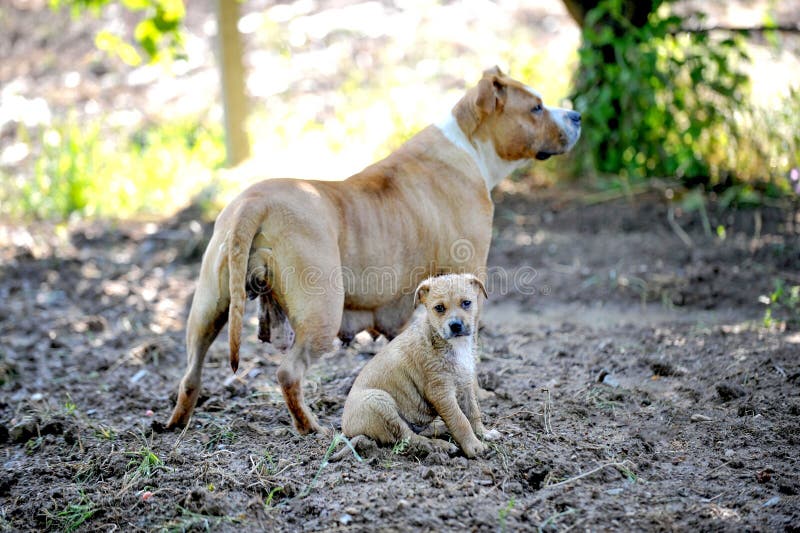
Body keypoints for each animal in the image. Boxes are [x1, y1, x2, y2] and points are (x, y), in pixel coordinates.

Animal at [167, 65, 580, 432]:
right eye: (536, 108)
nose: (576, 114)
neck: (469, 145)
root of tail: (255, 202)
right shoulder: (468, 274)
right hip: (321, 314)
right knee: (288, 373)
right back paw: (311, 427)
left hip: (208, 308)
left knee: (190, 372)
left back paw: (176, 423)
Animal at [340, 274, 490, 458]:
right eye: (439, 308)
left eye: (466, 303)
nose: (455, 326)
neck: (455, 345)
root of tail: (345, 428)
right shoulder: (441, 392)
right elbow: (460, 420)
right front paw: (474, 447)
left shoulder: (466, 383)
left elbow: (473, 412)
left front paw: (484, 433)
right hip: (379, 402)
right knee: (408, 437)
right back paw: (439, 446)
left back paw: (440, 428)